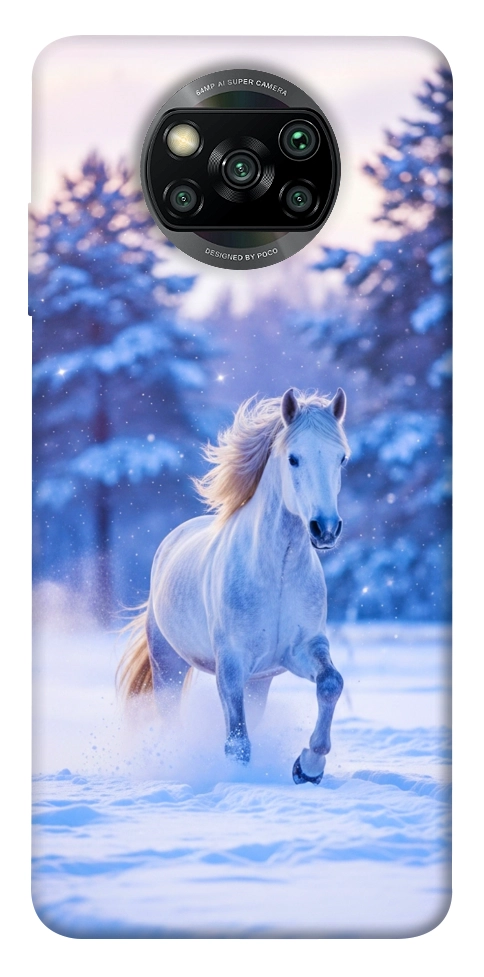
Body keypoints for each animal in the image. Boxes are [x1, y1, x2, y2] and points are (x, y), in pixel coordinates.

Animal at [118, 387, 350, 784]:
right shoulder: (231, 664)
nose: (325, 529)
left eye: (341, 459)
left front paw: (308, 767)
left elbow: (331, 683)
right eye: (294, 458)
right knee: (171, 717)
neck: (277, 573)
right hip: (168, 665)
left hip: (259, 681)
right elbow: (237, 742)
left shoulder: (301, 649)